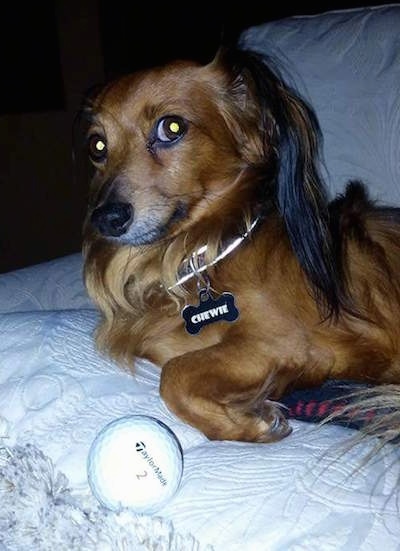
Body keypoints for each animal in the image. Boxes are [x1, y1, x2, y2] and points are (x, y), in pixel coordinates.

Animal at [81, 47, 400, 444]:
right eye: (97, 146)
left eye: (172, 127)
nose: (106, 218)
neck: (205, 256)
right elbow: (177, 364)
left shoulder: (290, 344)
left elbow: (174, 376)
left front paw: (247, 424)